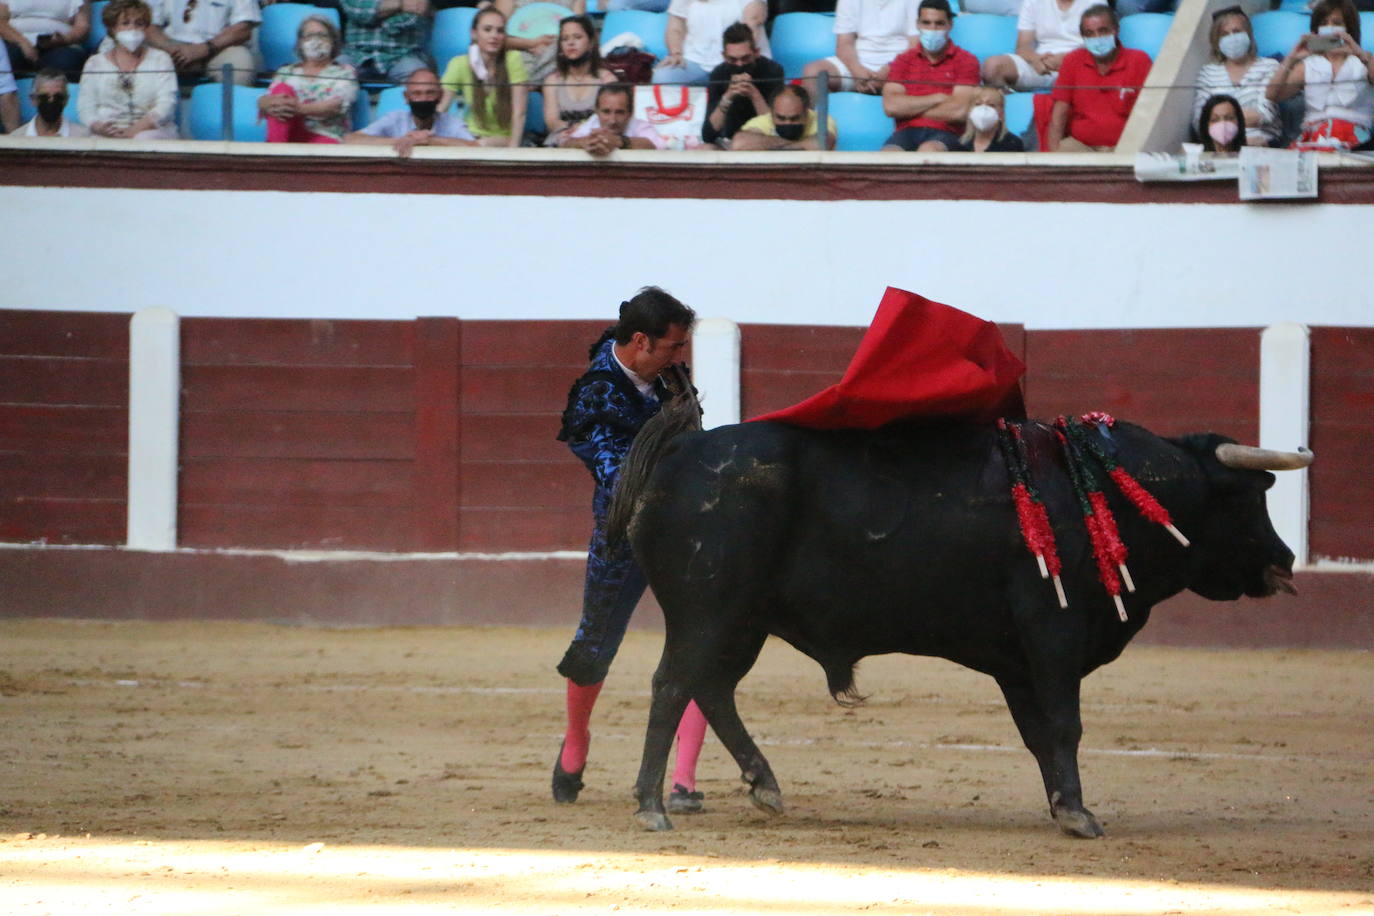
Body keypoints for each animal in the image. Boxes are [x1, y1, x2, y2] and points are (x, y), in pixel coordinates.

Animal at [610, 403, 1308, 840]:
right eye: (1252, 497)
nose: (1285, 559)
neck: (1103, 488)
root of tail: (680, 449)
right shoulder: (1054, 633)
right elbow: (1065, 724)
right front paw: (1081, 816)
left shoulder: (1019, 660)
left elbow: (1039, 733)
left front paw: (1062, 806)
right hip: (707, 609)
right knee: (672, 685)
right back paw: (651, 807)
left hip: (742, 619)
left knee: (711, 688)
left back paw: (764, 785)